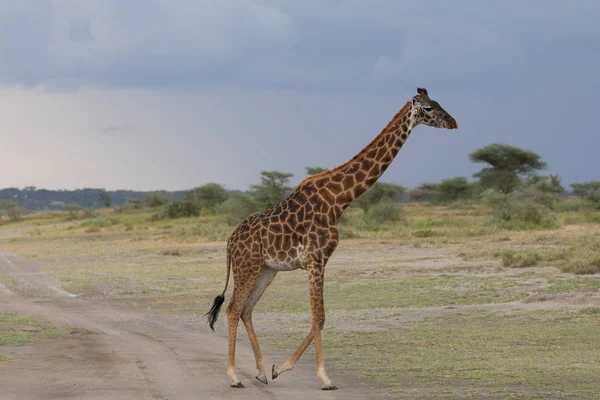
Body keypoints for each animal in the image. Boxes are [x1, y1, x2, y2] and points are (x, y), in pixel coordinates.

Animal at [204, 87, 458, 390]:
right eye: (429, 108)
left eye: (439, 102)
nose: (454, 123)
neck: (338, 201)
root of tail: (230, 242)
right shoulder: (316, 260)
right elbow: (319, 317)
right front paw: (324, 378)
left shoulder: (318, 262)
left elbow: (320, 319)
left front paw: (280, 369)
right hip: (248, 266)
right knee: (233, 309)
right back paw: (233, 377)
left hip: (266, 270)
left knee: (246, 309)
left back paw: (262, 372)